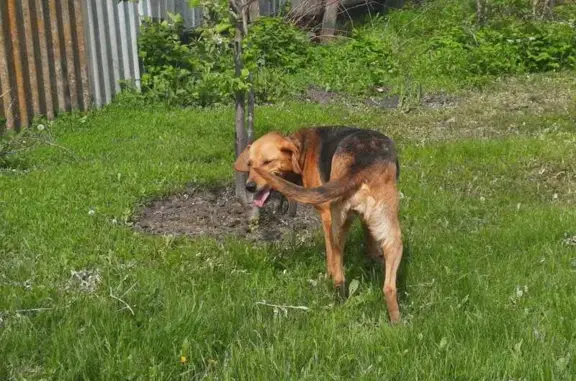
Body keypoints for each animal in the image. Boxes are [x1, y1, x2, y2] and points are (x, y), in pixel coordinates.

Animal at [232, 126, 402, 322]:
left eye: (268, 162)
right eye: (250, 164)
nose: (249, 187)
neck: (302, 150)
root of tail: (358, 165)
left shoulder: (326, 216)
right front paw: (375, 259)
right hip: (382, 233)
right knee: (384, 286)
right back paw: (396, 322)